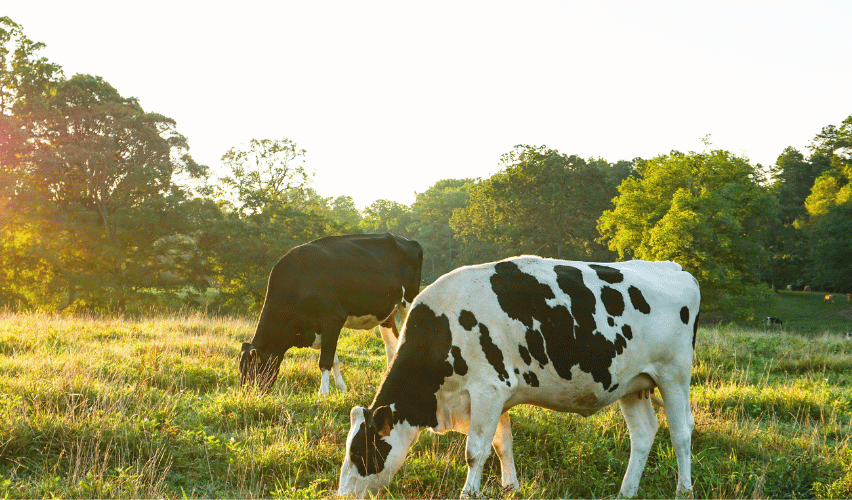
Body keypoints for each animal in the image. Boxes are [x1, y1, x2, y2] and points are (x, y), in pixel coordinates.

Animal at [239, 233, 423, 396]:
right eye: (241, 369)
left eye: (252, 369)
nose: (246, 395)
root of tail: (408, 241)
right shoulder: (322, 328)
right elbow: (333, 359)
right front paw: (341, 388)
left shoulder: (333, 319)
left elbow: (325, 361)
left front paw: (323, 393)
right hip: (386, 312)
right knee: (392, 344)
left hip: (409, 302)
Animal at [338, 256, 700, 499]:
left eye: (360, 454)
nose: (341, 495)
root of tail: (672, 267)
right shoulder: (498, 395)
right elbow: (502, 444)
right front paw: (510, 486)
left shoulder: (486, 390)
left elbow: (475, 451)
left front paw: (468, 493)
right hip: (632, 383)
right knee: (644, 433)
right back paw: (626, 491)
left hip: (674, 373)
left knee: (681, 432)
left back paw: (683, 490)